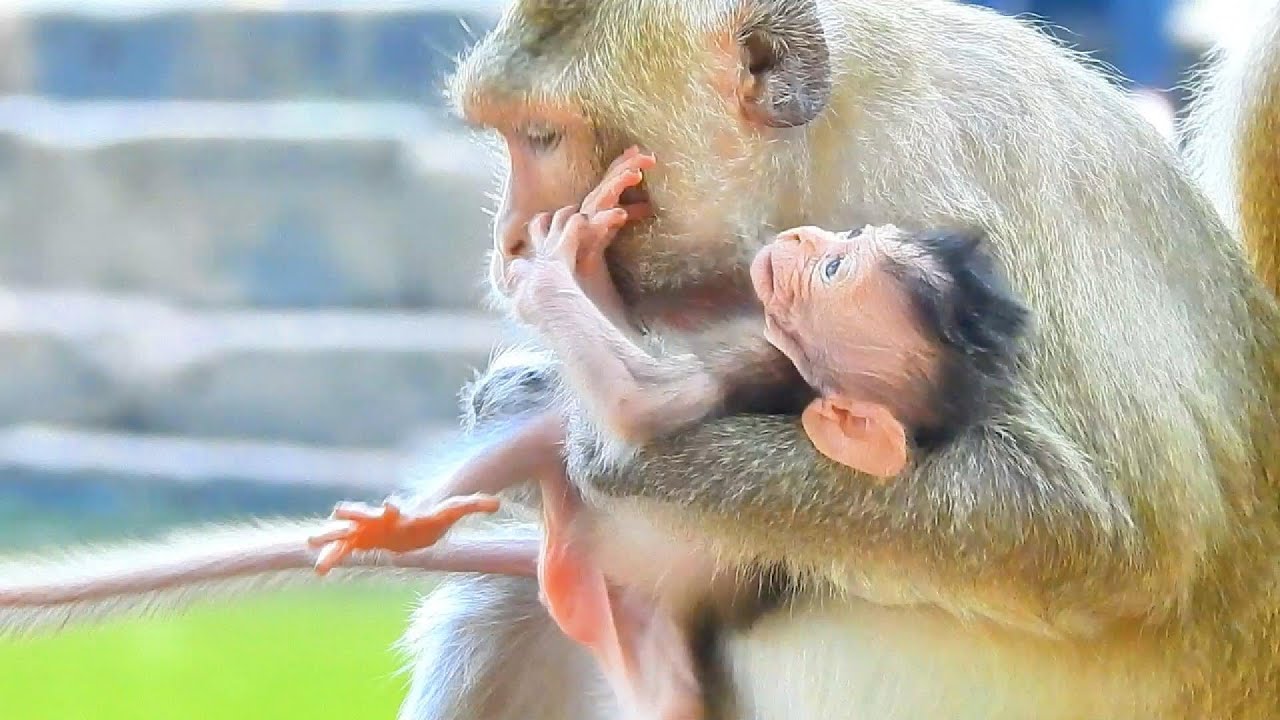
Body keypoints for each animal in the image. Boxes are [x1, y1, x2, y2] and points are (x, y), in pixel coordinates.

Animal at [2, 2, 1280, 719]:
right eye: (503, 133)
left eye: (544, 136)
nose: (507, 236)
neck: (827, 139)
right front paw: (528, 376)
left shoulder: (961, 169)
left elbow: (1111, 533)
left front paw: (598, 432)